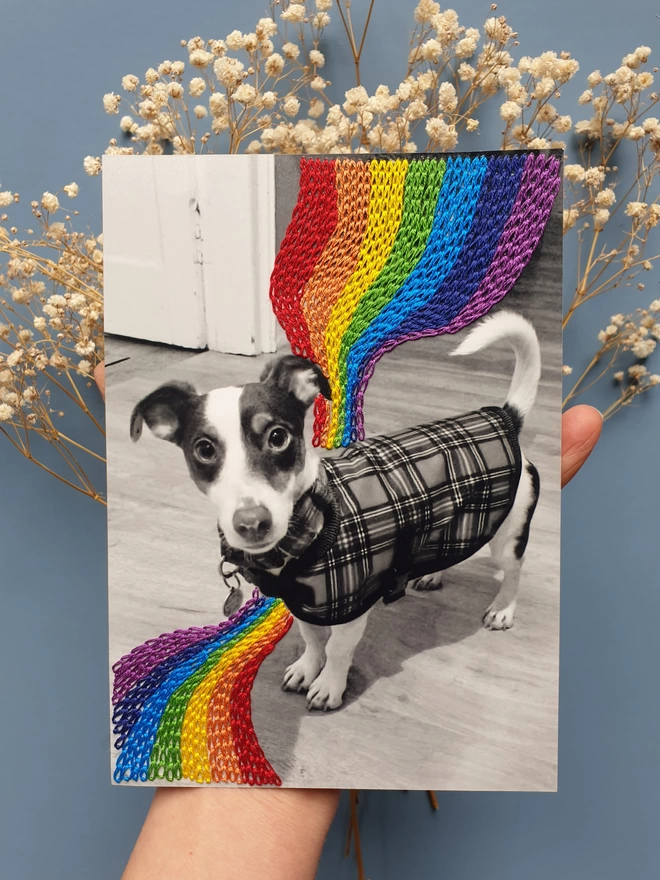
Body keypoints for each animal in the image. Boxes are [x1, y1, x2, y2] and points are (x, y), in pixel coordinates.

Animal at [130, 312, 540, 712]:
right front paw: (307, 668)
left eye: (278, 437)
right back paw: (431, 574)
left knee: (514, 570)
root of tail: (506, 417)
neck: (310, 521)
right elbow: (312, 639)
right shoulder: (305, 603)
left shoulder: (351, 607)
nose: (252, 523)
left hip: (509, 532)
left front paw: (329, 684)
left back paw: (503, 609)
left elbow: (337, 648)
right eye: (204, 450)